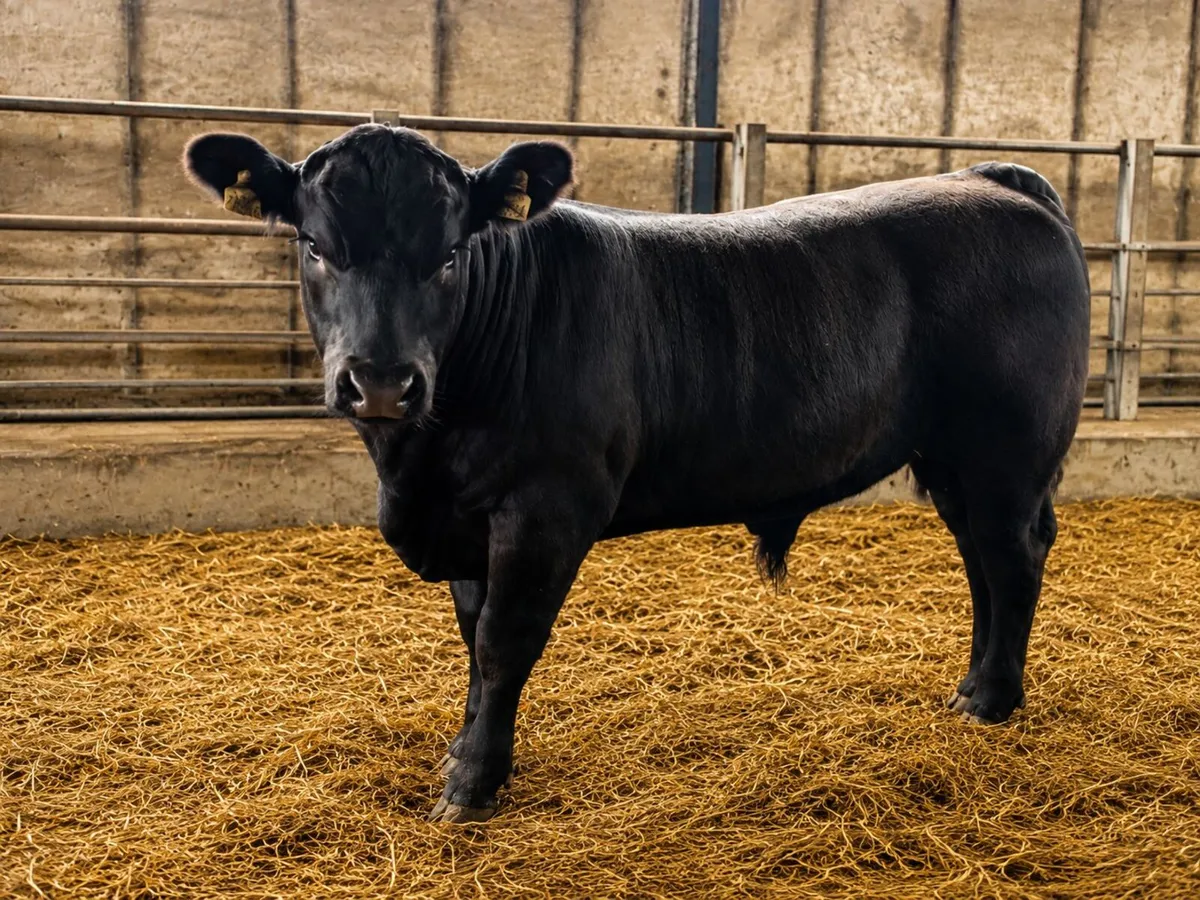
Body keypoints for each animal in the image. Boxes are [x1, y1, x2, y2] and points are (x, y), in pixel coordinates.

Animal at [183, 124, 1090, 823]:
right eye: (314, 246)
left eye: (450, 254)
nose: (380, 380)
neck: (420, 469)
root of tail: (989, 180)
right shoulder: (466, 519)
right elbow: (472, 640)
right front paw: (465, 752)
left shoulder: (546, 508)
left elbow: (505, 643)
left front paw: (473, 786)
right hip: (955, 461)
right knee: (982, 565)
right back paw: (971, 691)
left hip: (1008, 452)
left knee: (1013, 560)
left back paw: (993, 701)